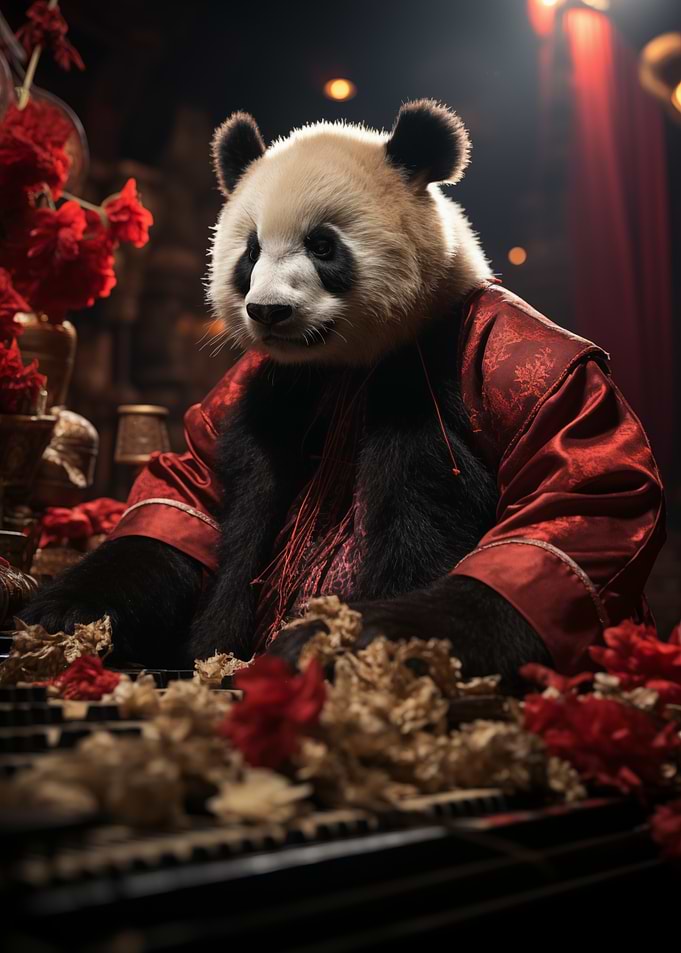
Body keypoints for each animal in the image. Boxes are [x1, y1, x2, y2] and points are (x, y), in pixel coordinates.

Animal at [21, 101, 663, 693]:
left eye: (323, 246)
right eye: (250, 252)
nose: (268, 311)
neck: (345, 368)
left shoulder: (498, 359)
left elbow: (573, 505)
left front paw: (344, 638)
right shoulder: (250, 390)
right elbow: (179, 503)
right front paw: (63, 614)